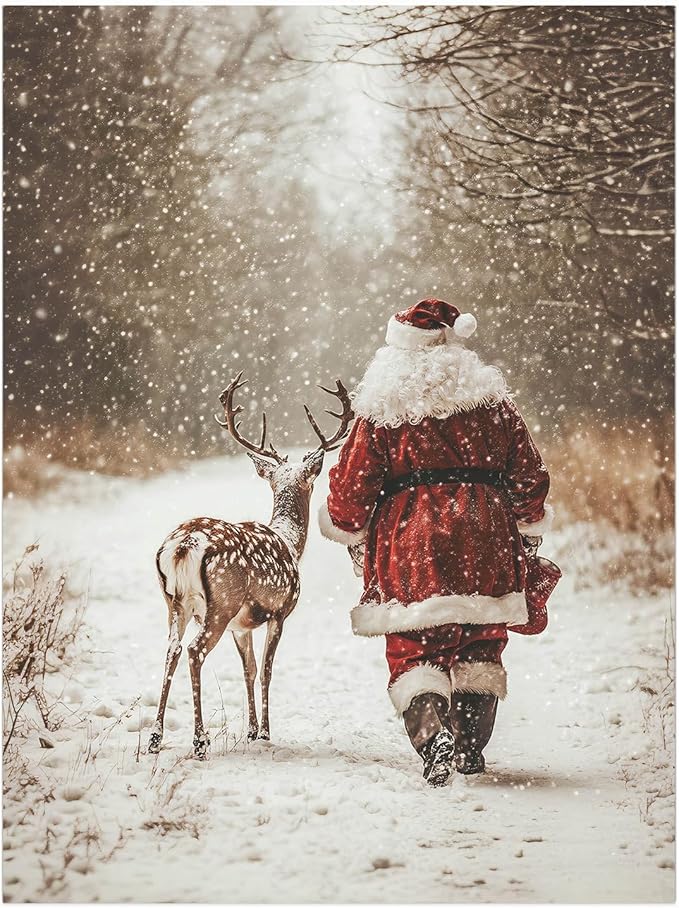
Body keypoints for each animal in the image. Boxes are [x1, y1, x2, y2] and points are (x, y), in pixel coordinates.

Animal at [148, 373, 353, 759]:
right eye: (313, 482)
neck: (290, 542)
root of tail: (185, 544)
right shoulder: (280, 611)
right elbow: (267, 670)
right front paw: (266, 732)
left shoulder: (241, 625)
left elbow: (249, 668)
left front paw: (253, 729)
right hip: (221, 602)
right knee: (194, 651)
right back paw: (199, 740)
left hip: (174, 602)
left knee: (171, 650)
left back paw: (155, 738)